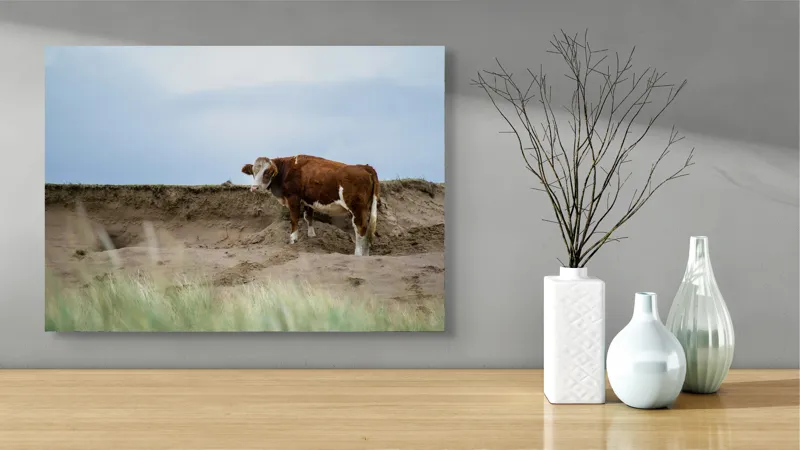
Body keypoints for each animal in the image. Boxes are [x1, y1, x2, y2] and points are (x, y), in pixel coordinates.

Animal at [242, 155, 380, 256]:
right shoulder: (308, 200)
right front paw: (311, 236)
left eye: (267, 172)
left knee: (360, 228)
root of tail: (364, 167)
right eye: (253, 172)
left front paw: (293, 239)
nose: (254, 188)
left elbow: (294, 219)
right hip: (366, 207)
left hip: (357, 208)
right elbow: (308, 217)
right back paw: (366, 254)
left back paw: (358, 254)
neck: (287, 170)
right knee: (367, 230)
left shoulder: (293, 198)